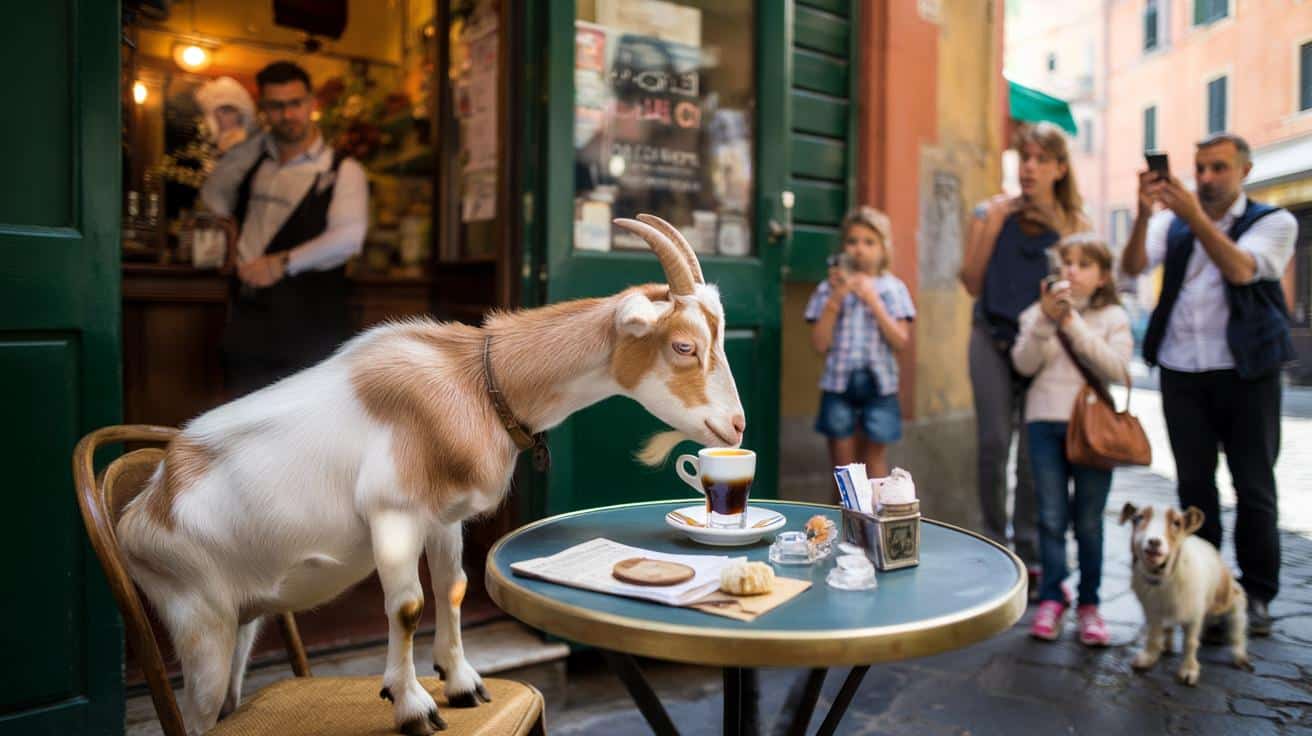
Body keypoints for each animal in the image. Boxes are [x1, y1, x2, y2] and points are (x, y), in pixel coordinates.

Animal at [116, 214, 746, 735]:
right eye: (684, 345)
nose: (736, 426)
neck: (474, 378)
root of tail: (142, 510)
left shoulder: (444, 518)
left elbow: (453, 587)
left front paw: (462, 683)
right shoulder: (393, 513)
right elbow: (407, 606)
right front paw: (413, 705)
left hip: (242, 625)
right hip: (198, 622)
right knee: (198, 713)